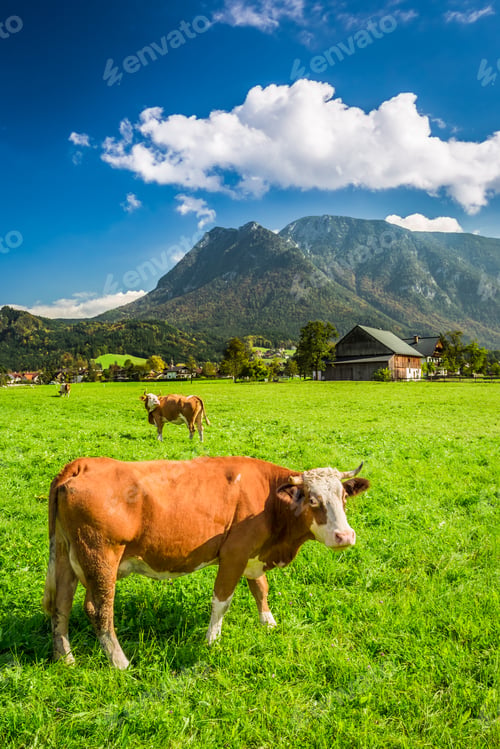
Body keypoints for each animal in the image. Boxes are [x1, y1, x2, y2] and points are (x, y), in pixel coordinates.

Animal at [43, 455, 369, 669]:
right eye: (313, 500)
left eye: (343, 497)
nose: (345, 535)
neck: (268, 498)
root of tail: (81, 464)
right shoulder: (234, 554)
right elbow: (221, 601)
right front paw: (212, 641)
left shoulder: (253, 554)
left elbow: (260, 588)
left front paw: (269, 623)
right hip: (100, 557)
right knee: (99, 610)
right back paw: (120, 662)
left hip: (66, 556)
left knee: (61, 605)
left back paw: (65, 658)